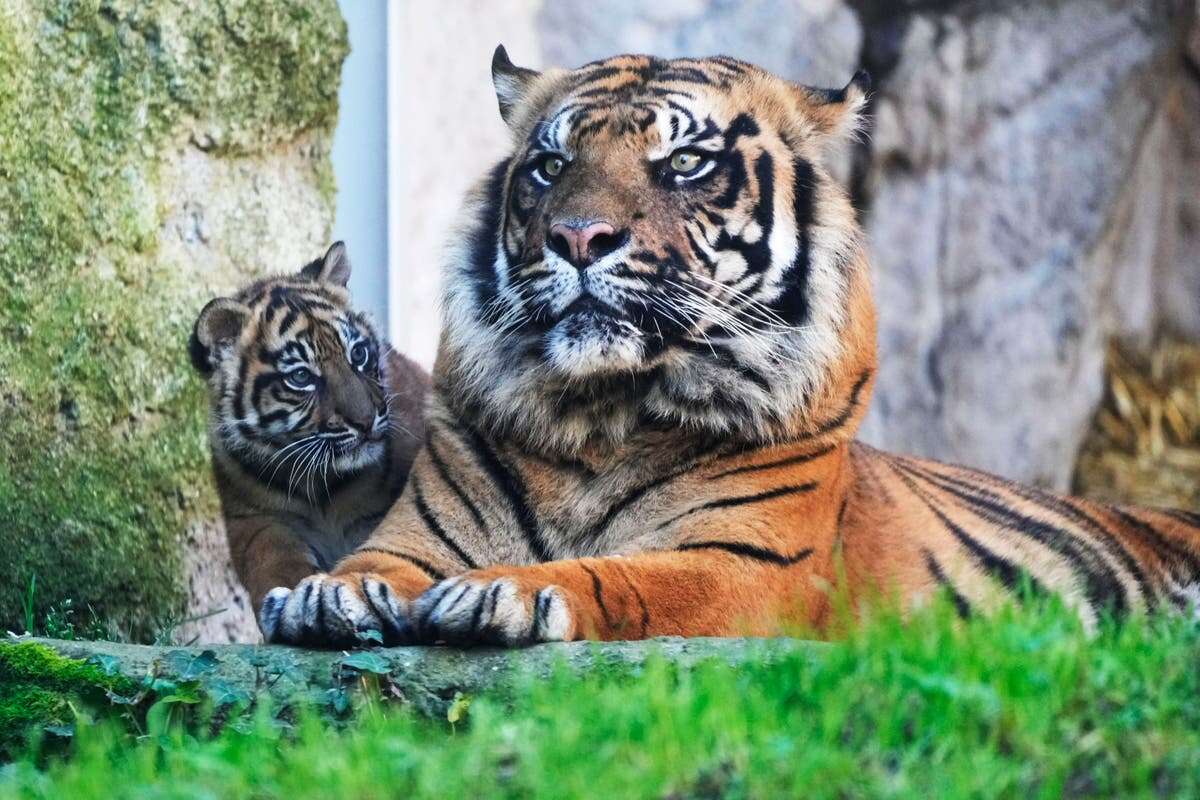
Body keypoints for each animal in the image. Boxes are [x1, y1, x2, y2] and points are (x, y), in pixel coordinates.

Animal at [258, 48, 1195, 652]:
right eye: (550, 165)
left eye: (683, 163)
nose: (577, 236)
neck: (600, 415)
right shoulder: (415, 536)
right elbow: (370, 563)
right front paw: (324, 597)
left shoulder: (746, 565)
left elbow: (626, 577)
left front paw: (510, 591)